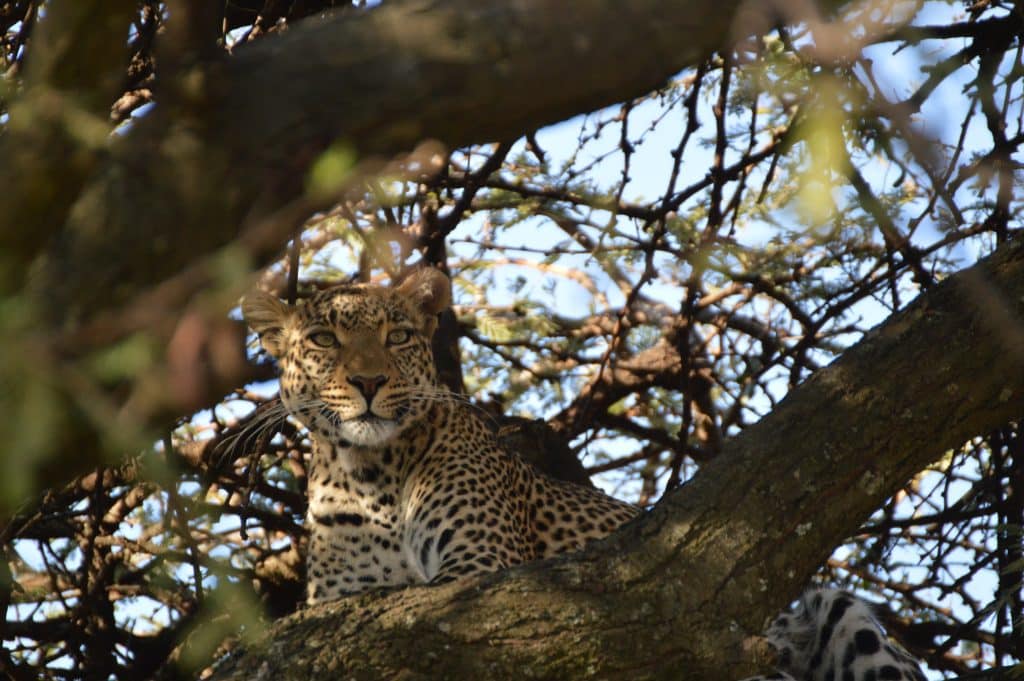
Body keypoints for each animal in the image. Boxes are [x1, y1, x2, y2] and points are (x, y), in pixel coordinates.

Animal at [241, 266, 929, 679]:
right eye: (324, 340)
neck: (369, 472)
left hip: (840, 610)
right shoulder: (342, 598)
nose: (368, 381)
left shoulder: (478, 574)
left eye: (399, 335)